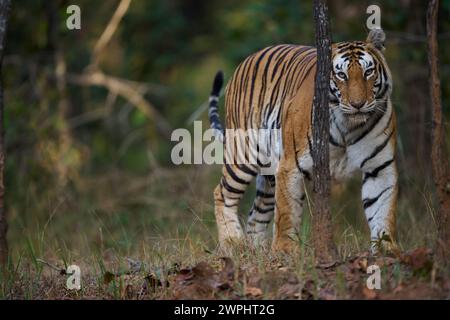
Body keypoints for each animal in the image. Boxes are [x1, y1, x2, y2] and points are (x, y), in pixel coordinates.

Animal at [207, 28, 398, 252]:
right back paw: (232, 242)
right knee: (222, 193)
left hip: (269, 175)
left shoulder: (380, 168)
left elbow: (382, 211)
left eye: (368, 72)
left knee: (256, 216)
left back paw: (256, 251)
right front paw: (284, 251)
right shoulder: (290, 166)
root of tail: (247, 59)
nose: (357, 104)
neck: (348, 127)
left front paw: (387, 251)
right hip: (244, 153)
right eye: (341, 75)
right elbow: (287, 213)